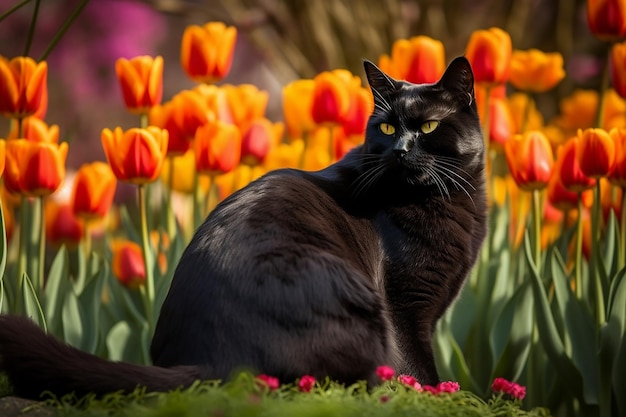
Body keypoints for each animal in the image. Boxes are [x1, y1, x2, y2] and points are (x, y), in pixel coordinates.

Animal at [0, 55, 486, 400]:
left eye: (428, 126)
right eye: (386, 127)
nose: (400, 150)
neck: (445, 200)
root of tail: (207, 358)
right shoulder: (403, 305)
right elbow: (417, 366)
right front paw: (438, 394)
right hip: (354, 298)